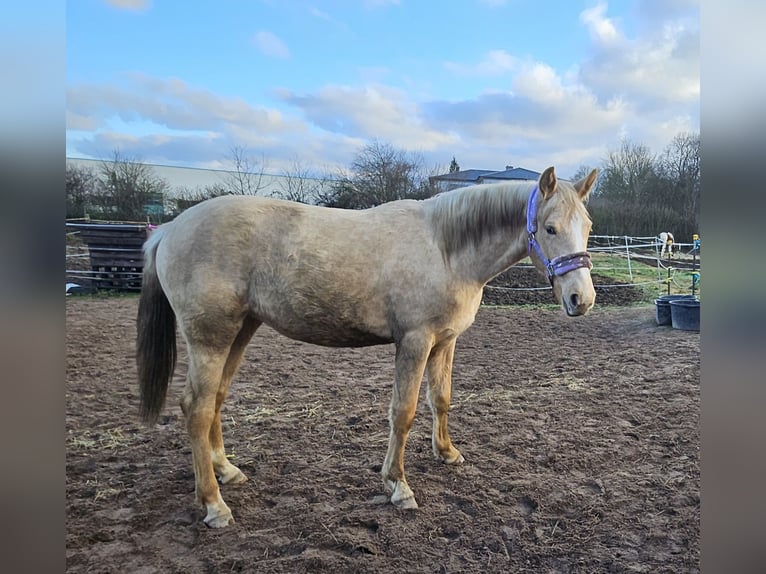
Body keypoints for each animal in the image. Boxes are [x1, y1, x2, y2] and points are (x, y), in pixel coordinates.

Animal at [136, 166, 597, 527]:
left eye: (588, 227)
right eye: (550, 228)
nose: (582, 299)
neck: (445, 249)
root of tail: (170, 230)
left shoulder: (444, 342)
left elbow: (441, 399)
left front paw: (447, 453)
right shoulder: (414, 341)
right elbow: (404, 412)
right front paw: (398, 485)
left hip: (240, 330)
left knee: (215, 399)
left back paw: (227, 472)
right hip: (210, 337)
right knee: (197, 408)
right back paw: (214, 505)